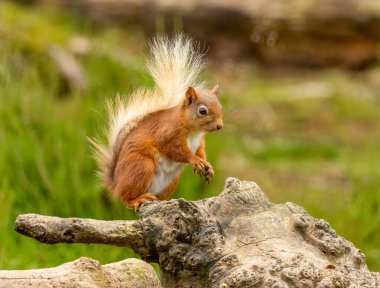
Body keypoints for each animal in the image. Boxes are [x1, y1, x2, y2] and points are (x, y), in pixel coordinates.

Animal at [91, 35, 223, 212]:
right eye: (202, 111)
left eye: (221, 107)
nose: (219, 126)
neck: (194, 131)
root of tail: (116, 185)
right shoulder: (168, 133)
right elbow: (176, 150)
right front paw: (195, 160)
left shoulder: (199, 142)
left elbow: (201, 152)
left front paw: (208, 166)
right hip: (141, 166)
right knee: (126, 198)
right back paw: (138, 199)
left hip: (171, 181)